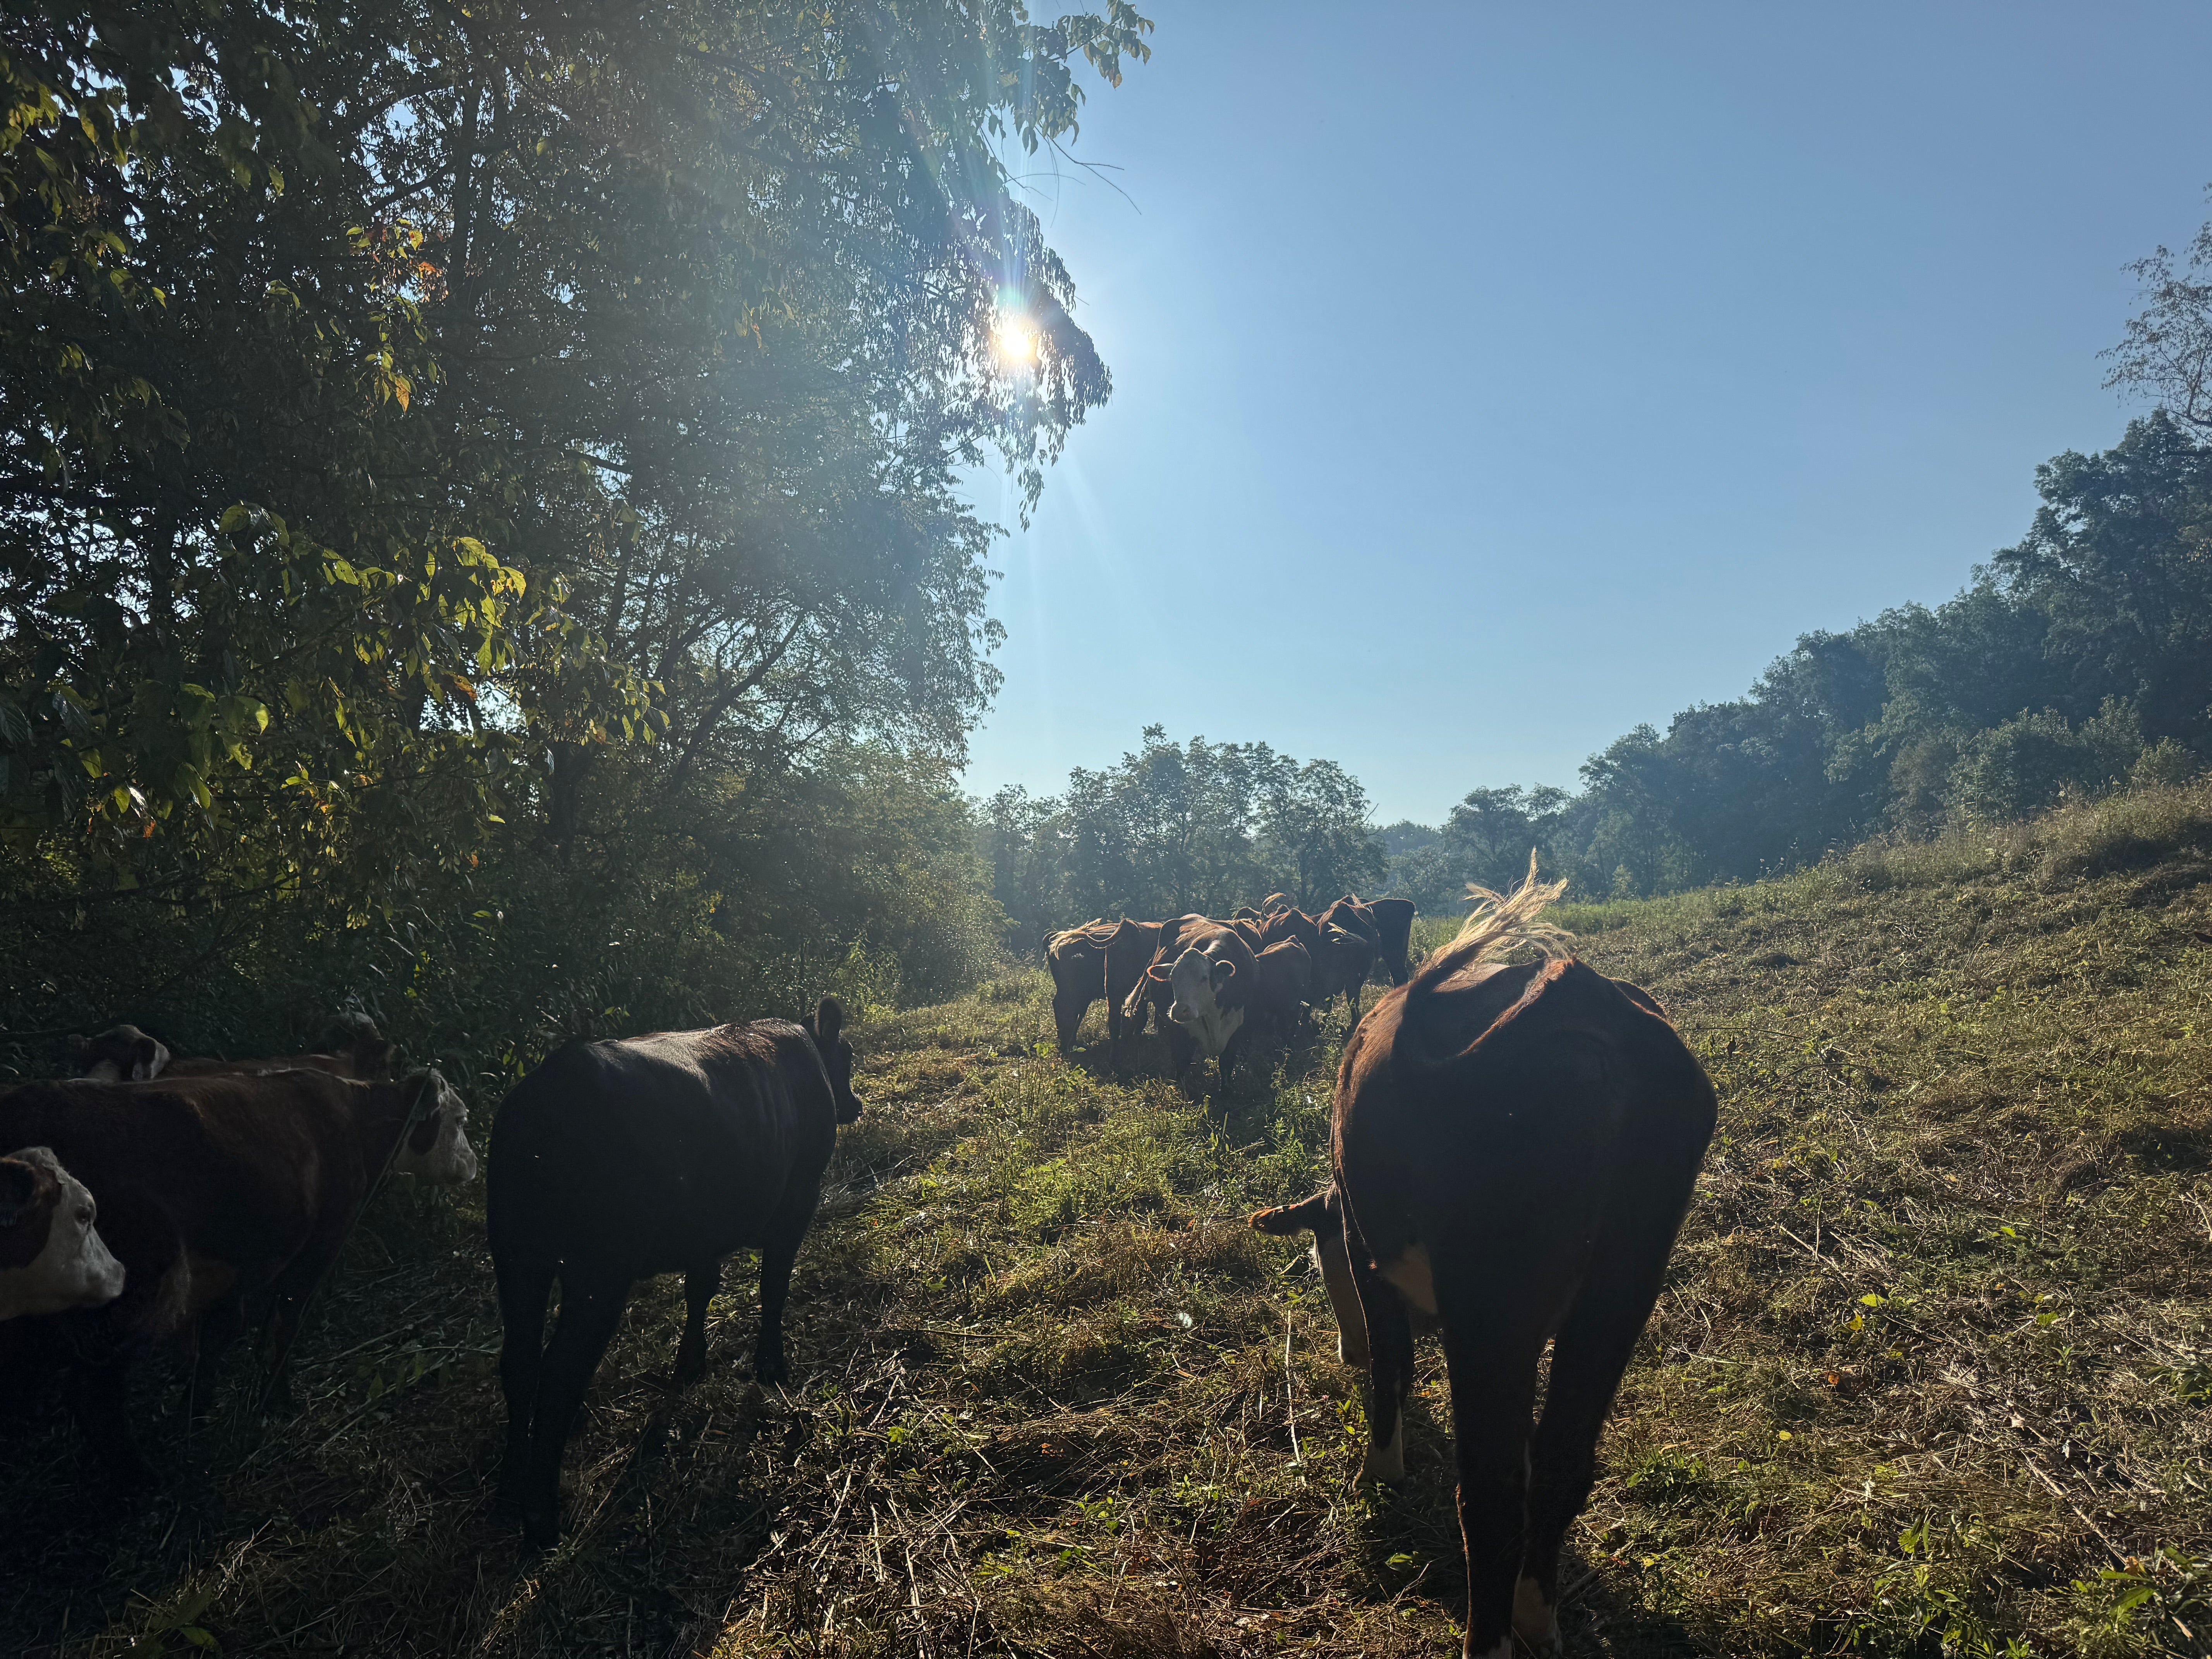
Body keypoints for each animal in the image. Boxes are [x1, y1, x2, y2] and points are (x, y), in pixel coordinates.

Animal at [487, 999, 863, 1549]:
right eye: (848, 1057)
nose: (854, 1104)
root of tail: (547, 1087)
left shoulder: (704, 1230)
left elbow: (700, 1289)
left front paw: (689, 1365)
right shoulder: (798, 1197)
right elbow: (774, 1285)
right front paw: (770, 1365)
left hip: (517, 1258)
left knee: (518, 1361)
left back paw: (511, 1485)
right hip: (597, 1271)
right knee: (560, 1373)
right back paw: (541, 1517)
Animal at [1330, 858, 1715, 1658]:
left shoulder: (1361, 1244)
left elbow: (1388, 1361)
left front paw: (1380, 1471)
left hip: (1492, 1311)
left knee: (1493, 1493)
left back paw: (1491, 1635)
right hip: (1622, 1286)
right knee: (1564, 1460)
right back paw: (1536, 1615)